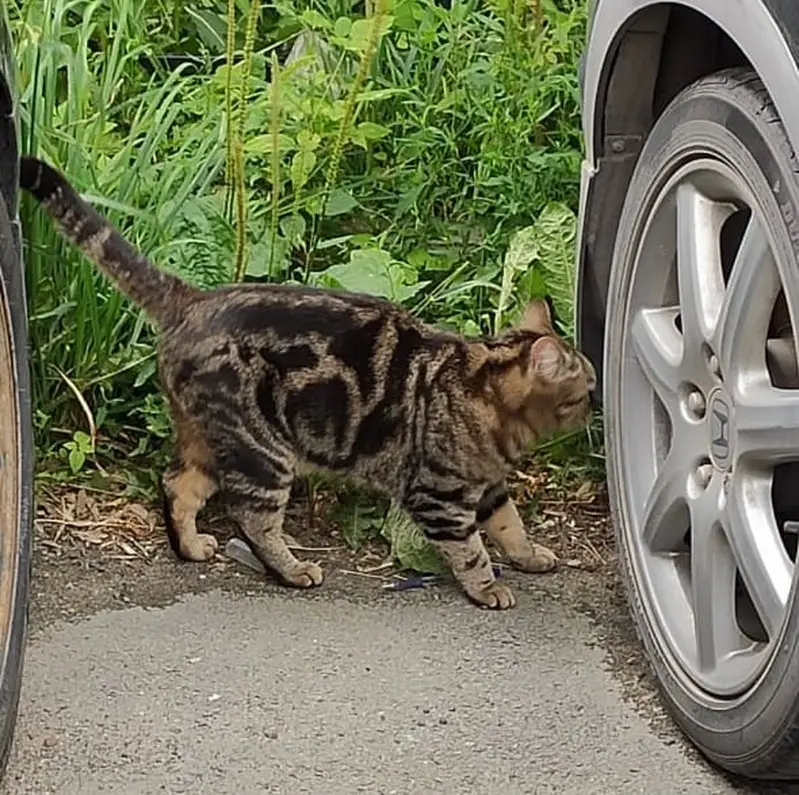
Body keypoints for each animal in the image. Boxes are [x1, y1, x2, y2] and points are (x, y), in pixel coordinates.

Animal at [20, 155, 596, 610]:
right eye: (587, 386)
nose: (597, 404)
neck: (490, 404)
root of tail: (194, 299)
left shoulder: (488, 488)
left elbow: (510, 526)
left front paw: (529, 556)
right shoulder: (439, 495)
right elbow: (473, 550)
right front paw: (488, 587)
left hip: (209, 436)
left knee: (178, 485)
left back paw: (192, 546)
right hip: (264, 450)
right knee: (252, 517)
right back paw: (293, 569)